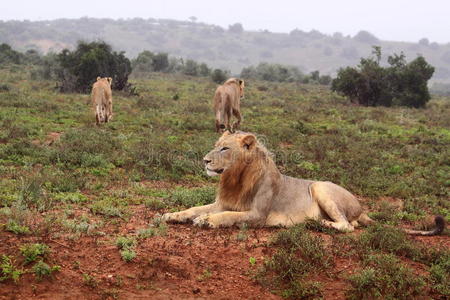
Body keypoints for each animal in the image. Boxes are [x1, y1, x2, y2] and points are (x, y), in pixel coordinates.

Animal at [162, 130, 442, 236]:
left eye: (225, 148)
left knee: (347, 226)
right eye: (216, 144)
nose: (205, 160)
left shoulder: (257, 214)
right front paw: (172, 215)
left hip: (319, 186)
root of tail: (361, 208)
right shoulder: (222, 202)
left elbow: (228, 216)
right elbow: (194, 208)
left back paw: (321, 223)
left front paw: (206, 221)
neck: (235, 178)